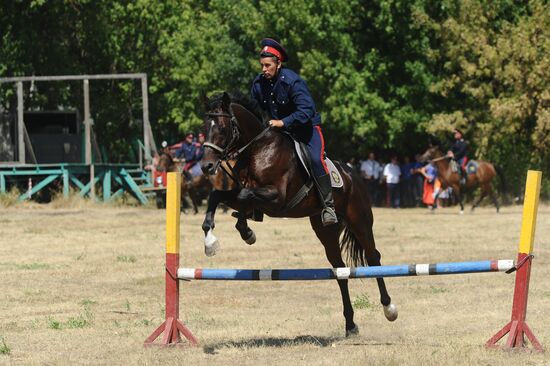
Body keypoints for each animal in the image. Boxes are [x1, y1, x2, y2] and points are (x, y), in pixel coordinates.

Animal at [201, 91, 398, 338]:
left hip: (360, 221)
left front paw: (243, 231)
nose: (206, 166)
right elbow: (218, 196)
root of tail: (354, 175)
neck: (257, 150)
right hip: (325, 231)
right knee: (340, 269)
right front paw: (215, 239)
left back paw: (389, 308)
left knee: (373, 258)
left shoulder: (277, 199)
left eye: (222, 127)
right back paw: (350, 324)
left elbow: (246, 194)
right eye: (204, 126)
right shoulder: (242, 193)